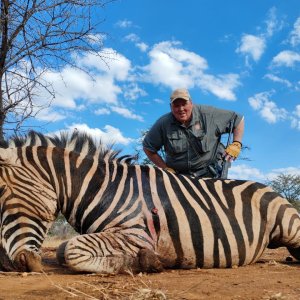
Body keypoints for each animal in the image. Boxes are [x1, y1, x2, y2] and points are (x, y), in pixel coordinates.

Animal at [0, 130, 298, 274]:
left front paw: (146, 262)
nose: (11, 265)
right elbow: (63, 251)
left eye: (2, 197)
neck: (103, 189)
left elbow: (72, 251)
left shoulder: (137, 233)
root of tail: (268, 186)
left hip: (289, 226)